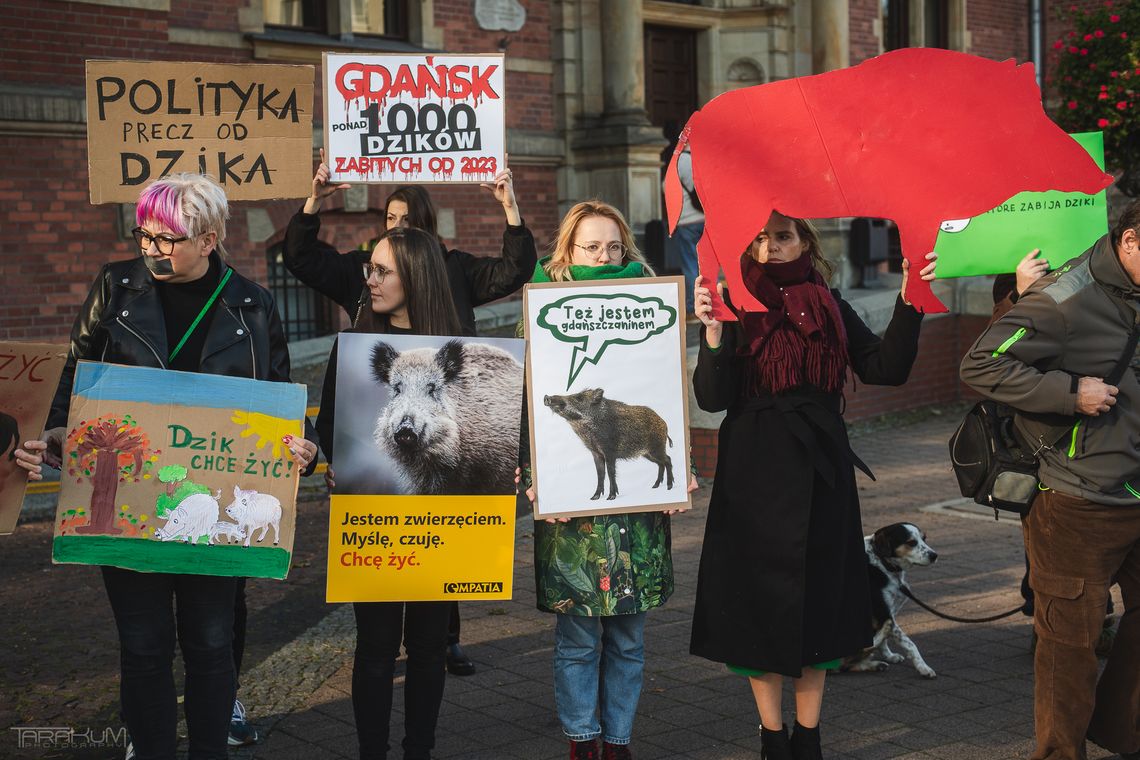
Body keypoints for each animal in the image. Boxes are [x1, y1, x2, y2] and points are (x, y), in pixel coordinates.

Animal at [843, 524, 939, 679]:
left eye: (924, 538)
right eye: (911, 542)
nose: (934, 555)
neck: (881, 563)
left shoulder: (888, 613)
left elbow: (885, 642)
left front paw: (889, 656)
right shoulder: (884, 614)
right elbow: (910, 644)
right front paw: (923, 667)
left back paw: (876, 664)